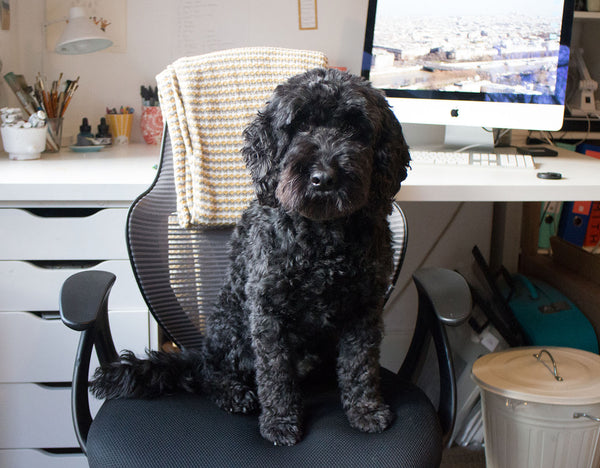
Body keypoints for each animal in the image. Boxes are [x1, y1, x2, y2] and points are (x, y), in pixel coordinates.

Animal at [92, 68, 412, 446]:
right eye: (299, 126)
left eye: (352, 127)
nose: (323, 178)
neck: (323, 238)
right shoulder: (268, 312)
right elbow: (275, 374)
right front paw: (280, 421)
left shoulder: (364, 309)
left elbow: (361, 365)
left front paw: (365, 410)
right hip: (231, 325)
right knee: (211, 373)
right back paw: (233, 392)